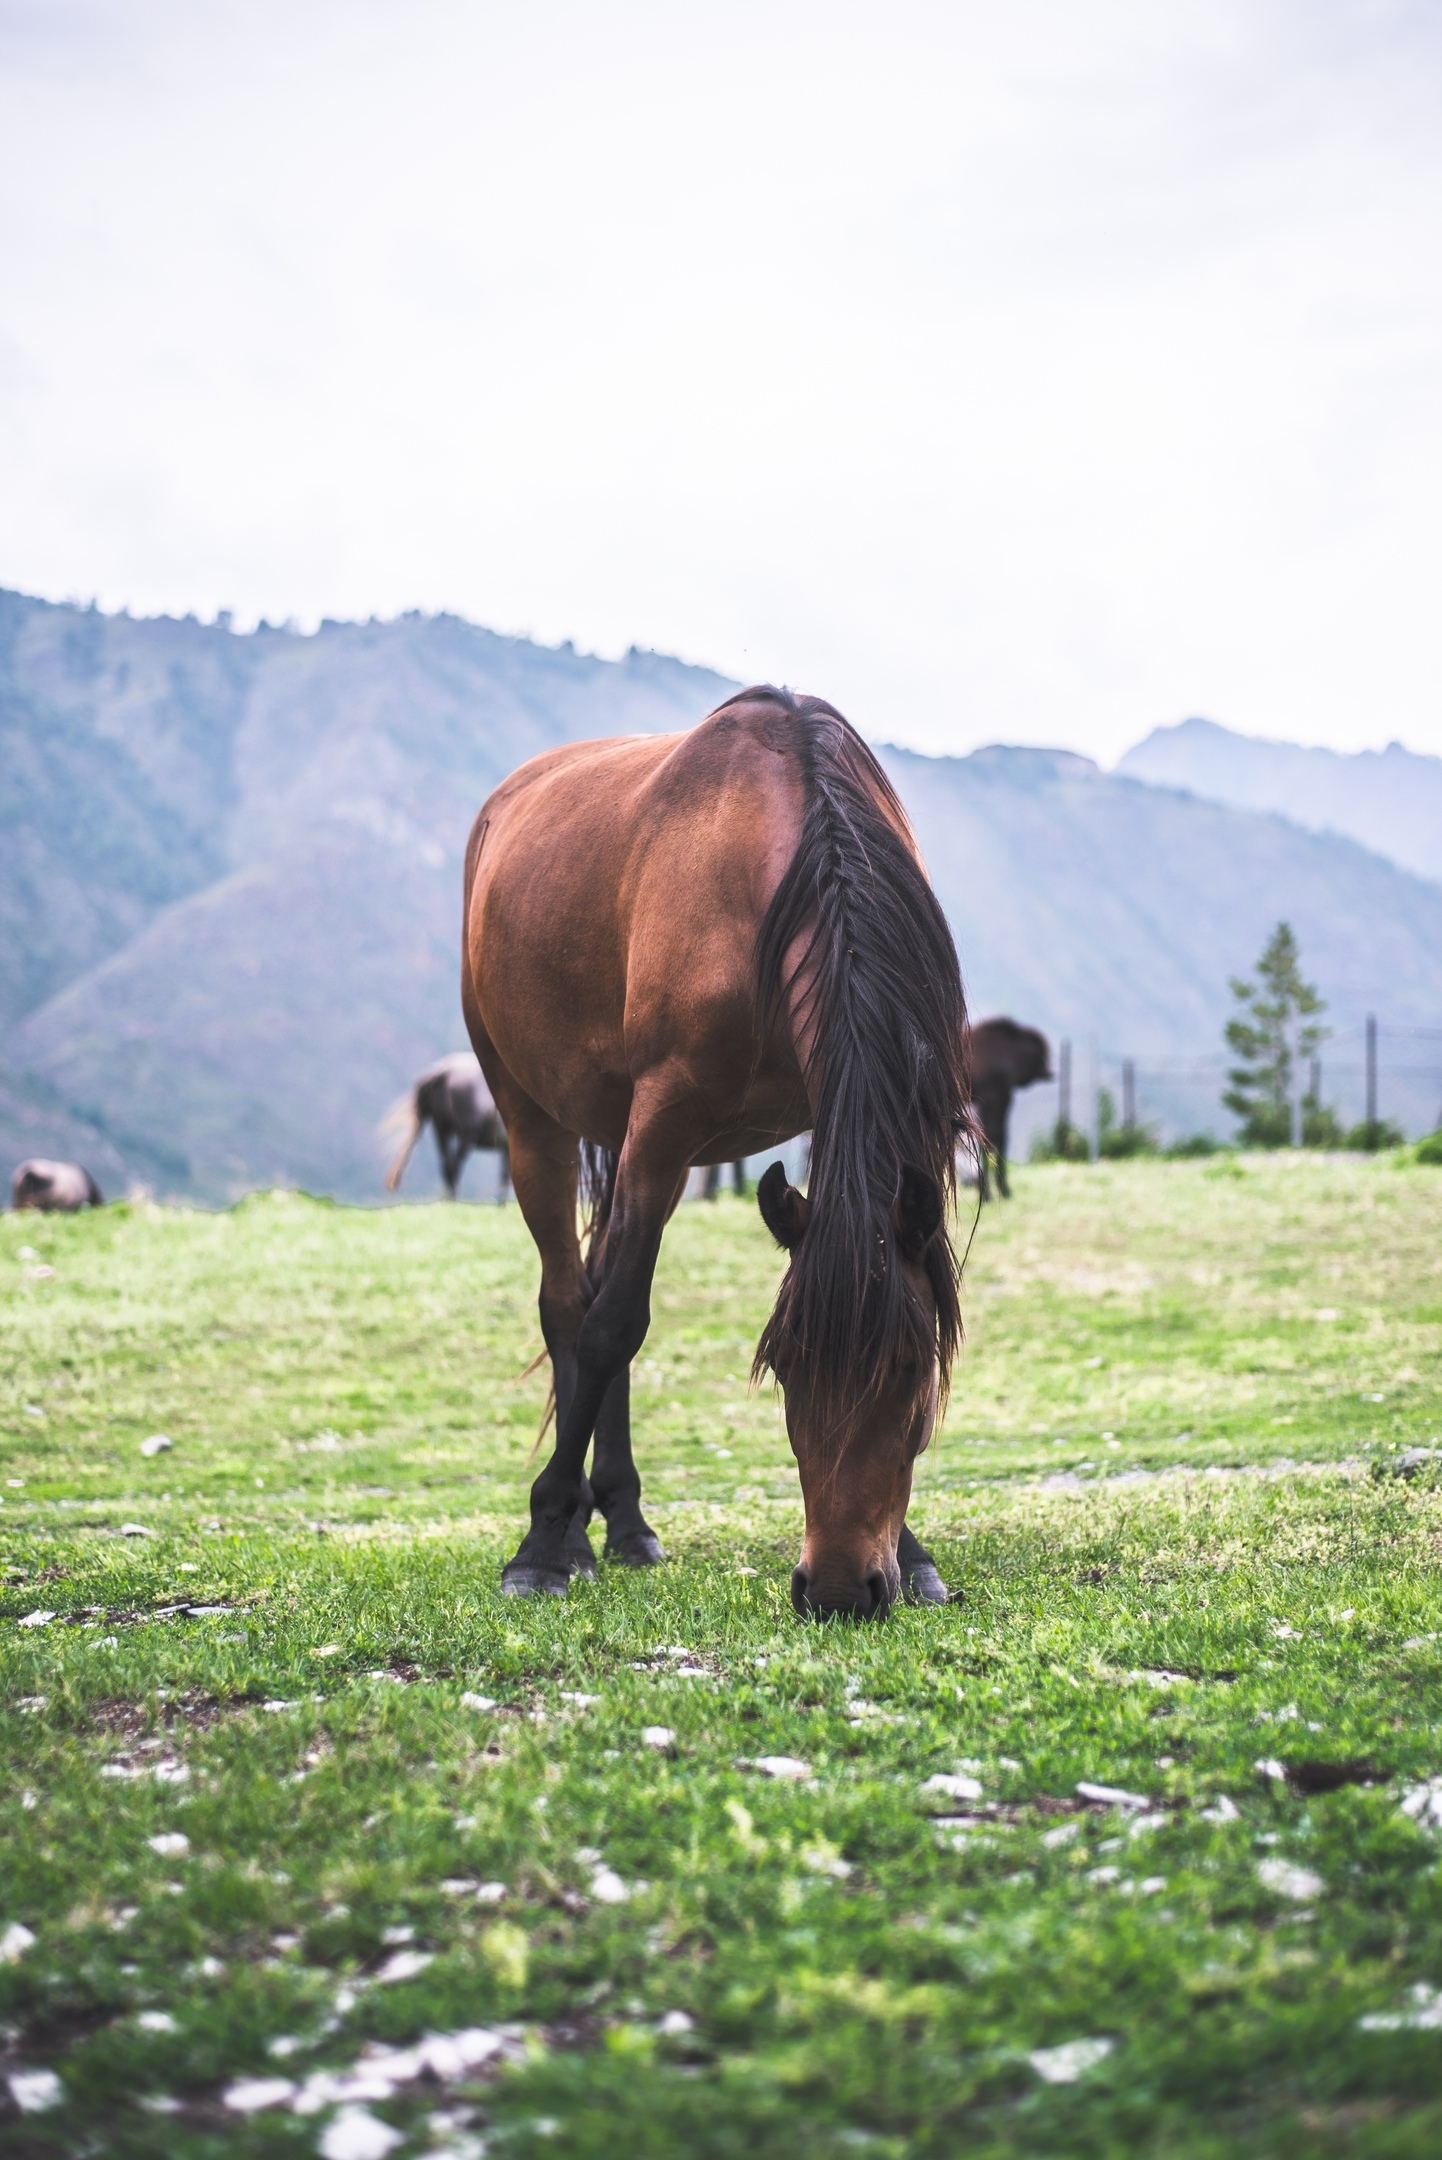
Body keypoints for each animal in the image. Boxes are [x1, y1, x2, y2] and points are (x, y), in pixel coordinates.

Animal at [386, 1049, 509, 1200]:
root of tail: (446, 1071)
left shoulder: (505, 1146)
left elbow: (504, 1176)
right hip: (467, 1135)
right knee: (454, 1167)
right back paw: (455, 1199)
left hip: (441, 1129)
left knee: (447, 1167)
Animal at [461, 691, 967, 1624]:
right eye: (785, 1367)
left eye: (911, 1368)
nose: (837, 1589)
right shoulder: (664, 1119)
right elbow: (612, 1324)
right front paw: (541, 1546)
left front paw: (914, 1556)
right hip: (535, 1121)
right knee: (572, 1307)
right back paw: (577, 1532)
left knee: (595, 1287)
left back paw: (624, 1524)